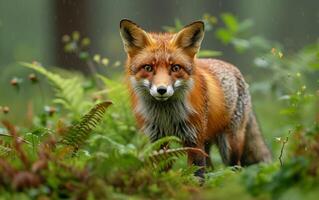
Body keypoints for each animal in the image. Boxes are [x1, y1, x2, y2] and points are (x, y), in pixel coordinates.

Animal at [120, 19, 272, 177]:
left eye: (175, 68)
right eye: (148, 68)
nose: (161, 90)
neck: (167, 117)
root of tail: (234, 68)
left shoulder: (194, 139)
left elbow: (196, 174)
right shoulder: (158, 139)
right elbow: (163, 171)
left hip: (229, 145)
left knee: (234, 170)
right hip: (208, 143)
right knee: (211, 168)